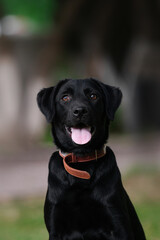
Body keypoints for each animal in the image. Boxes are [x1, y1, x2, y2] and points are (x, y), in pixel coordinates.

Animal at [37, 79, 146, 240]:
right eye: (65, 97)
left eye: (93, 96)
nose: (80, 111)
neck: (82, 161)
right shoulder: (55, 229)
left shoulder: (117, 224)